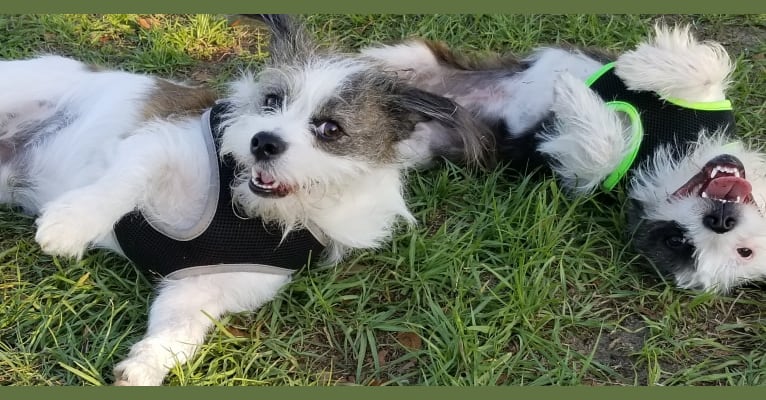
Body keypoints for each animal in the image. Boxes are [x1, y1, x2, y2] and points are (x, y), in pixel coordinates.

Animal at [0, 14, 496, 384]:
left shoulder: (205, 287)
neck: (254, 213)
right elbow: (121, 182)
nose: (263, 142)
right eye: (271, 100)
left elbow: (179, 330)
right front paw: (72, 222)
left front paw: (145, 365)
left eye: (330, 129)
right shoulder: (159, 146)